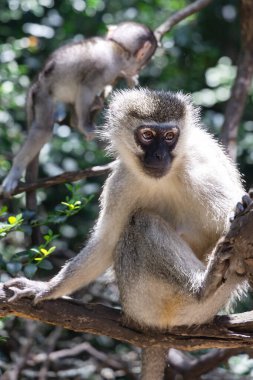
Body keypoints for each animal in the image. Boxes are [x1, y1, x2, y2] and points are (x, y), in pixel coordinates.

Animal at [1, 22, 156, 196]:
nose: (137, 69)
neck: (116, 47)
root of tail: (36, 83)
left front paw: (128, 78)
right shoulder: (105, 67)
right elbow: (85, 88)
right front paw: (84, 125)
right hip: (43, 95)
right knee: (42, 130)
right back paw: (16, 169)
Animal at [4, 90, 250, 380]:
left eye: (170, 136)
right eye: (147, 135)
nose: (159, 156)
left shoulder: (203, 169)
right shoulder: (121, 181)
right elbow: (105, 243)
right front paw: (46, 287)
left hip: (193, 308)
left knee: (142, 224)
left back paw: (204, 285)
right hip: (141, 301)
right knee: (138, 224)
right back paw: (205, 283)